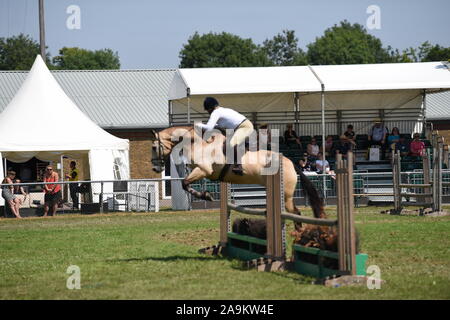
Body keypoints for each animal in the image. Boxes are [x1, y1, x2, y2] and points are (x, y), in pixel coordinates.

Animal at [149, 124, 326, 226]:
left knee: (296, 213)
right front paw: (206, 194)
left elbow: (185, 184)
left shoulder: (203, 170)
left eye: (153, 147)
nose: (155, 168)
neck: (198, 143)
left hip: (287, 194)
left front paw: (206, 196)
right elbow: (185, 183)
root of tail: (290, 163)